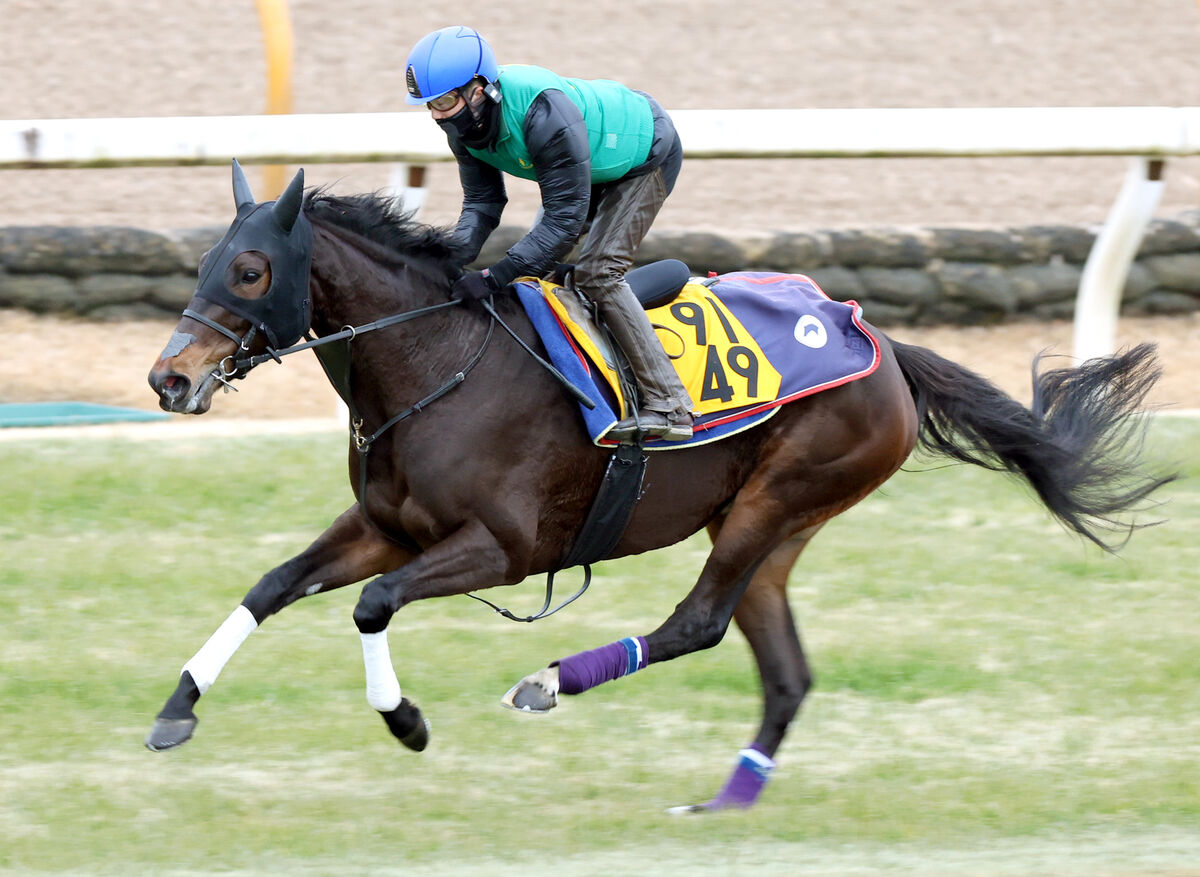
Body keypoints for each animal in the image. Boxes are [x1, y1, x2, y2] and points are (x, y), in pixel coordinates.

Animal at [142, 163, 1171, 811]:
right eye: (204, 264)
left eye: (250, 268)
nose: (168, 378)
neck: (436, 359)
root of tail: (873, 336)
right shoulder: (386, 523)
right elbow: (274, 583)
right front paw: (175, 708)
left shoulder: (503, 548)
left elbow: (372, 605)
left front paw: (406, 721)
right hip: (773, 527)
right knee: (784, 669)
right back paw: (726, 801)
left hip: (780, 496)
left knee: (699, 621)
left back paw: (550, 681)